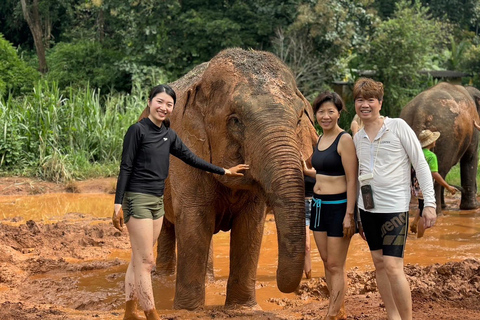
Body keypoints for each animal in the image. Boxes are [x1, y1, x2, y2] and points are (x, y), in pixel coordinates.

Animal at [139, 47, 318, 310]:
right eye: (235, 120)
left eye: (298, 120)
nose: (305, 279)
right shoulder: (186, 149)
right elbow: (194, 218)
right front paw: (189, 310)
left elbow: (250, 225)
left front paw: (244, 309)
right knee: (169, 226)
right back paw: (162, 279)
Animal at [400, 82, 480, 212]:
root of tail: (420, 112)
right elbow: (471, 157)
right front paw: (472, 208)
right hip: (446, 136)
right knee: (440, 170)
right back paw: (437, 212)